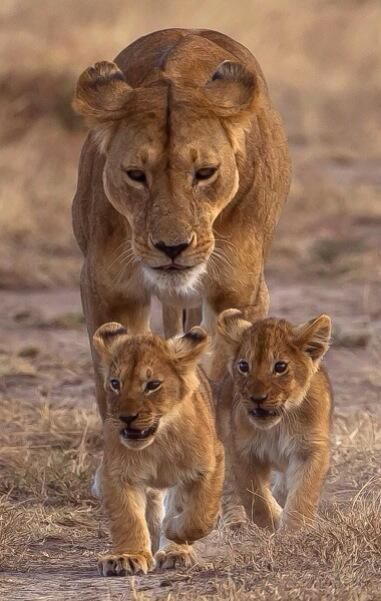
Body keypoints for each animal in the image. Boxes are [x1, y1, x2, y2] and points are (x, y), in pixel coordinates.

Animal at [72, 28, 290, 418]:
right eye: (135, 174)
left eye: (204, 173)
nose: (171, 248)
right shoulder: (107, 292)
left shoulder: (239, 292)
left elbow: (226, 382)